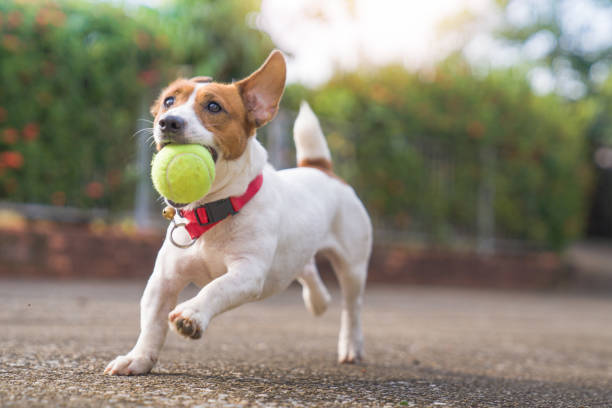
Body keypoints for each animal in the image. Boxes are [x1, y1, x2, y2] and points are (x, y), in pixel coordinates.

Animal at [104, 49, 370, 374]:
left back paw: (351, 346)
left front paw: (192, 314)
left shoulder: (248, 272)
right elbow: (152, 324)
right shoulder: (163, 280)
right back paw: (318, 300)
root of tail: (321, 169)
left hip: (353, 266)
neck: (212, 211)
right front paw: (138, 358)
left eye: (214, 106)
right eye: (168, 101)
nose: (168, 122)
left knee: (352, 308)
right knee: (306, 268)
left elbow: (216, 288)